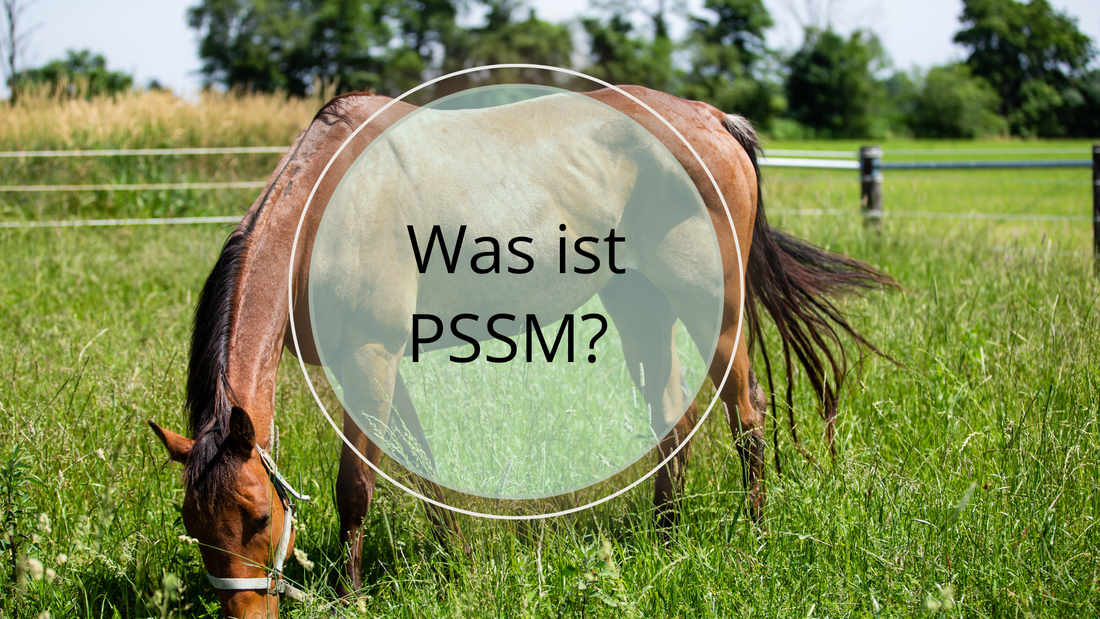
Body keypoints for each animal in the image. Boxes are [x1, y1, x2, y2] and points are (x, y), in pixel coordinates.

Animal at [148, 85, 894, 618]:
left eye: (259, 518)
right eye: (193, 525)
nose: (246, 615)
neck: (329, 214)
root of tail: (713, 118)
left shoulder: (370, 357)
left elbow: (356, 483)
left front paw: (353, 597)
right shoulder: (378, 364)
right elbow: (423, 465)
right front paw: (459, 561)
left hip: (716, 308)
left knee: (748, 415)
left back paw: (758, 541)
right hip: (639, 303)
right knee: (672, 417)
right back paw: (663, 540)